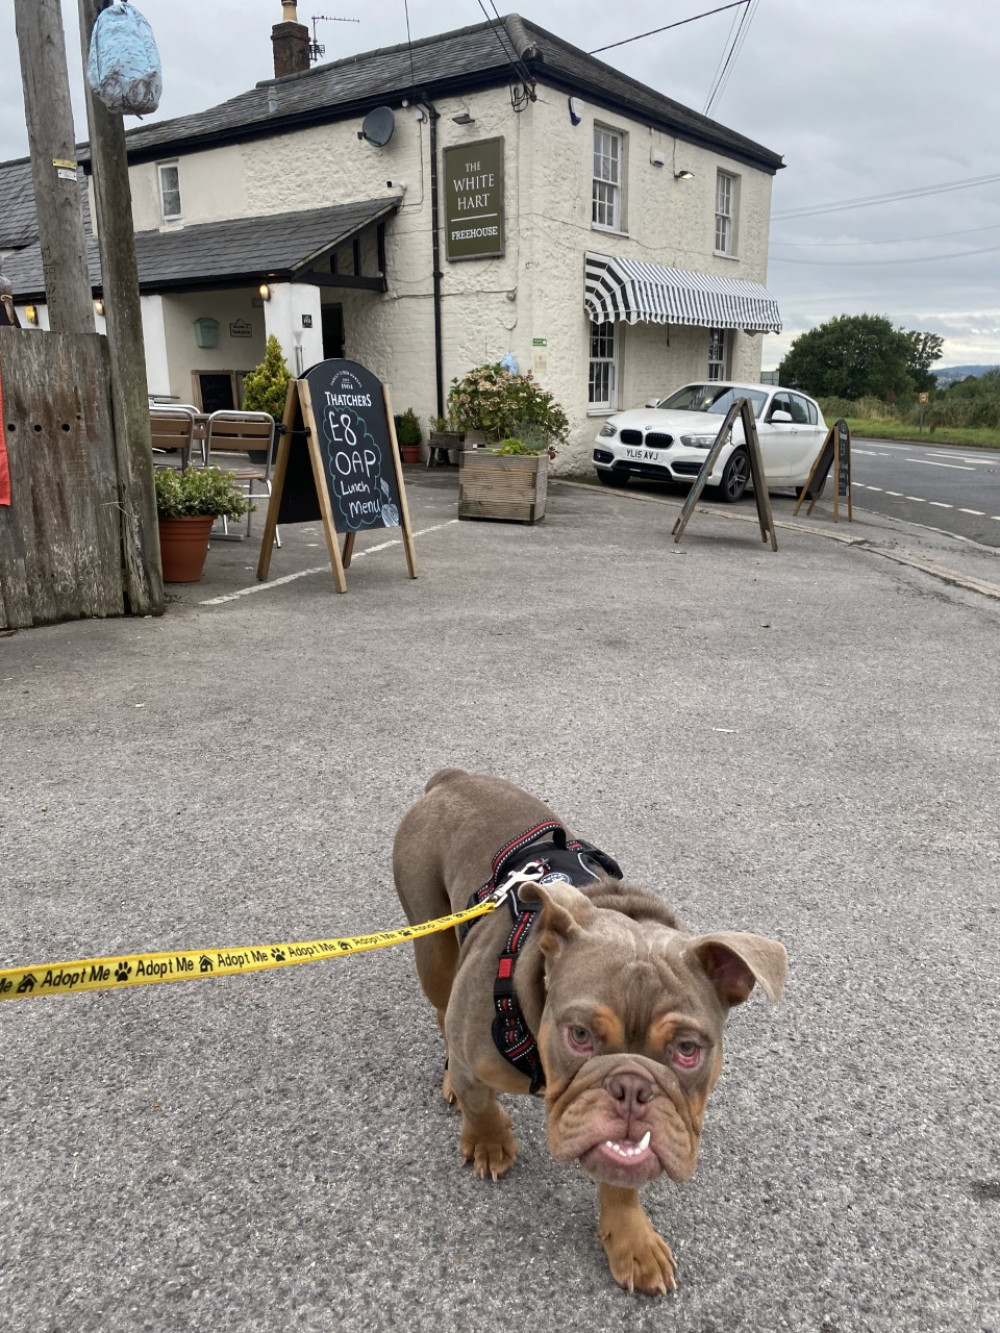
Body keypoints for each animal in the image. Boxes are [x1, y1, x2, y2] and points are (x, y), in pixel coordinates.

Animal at [394, 767, 789, 1295]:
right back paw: (450, 1079)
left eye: (687, 1049)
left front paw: (631, 1241)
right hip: (432, 944)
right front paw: (489, 1141)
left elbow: (622, 1181)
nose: (632, 1086)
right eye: (579, 1035)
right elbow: (481, 1104)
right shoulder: (477, 1061)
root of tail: (452, 779)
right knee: (443, 1006)